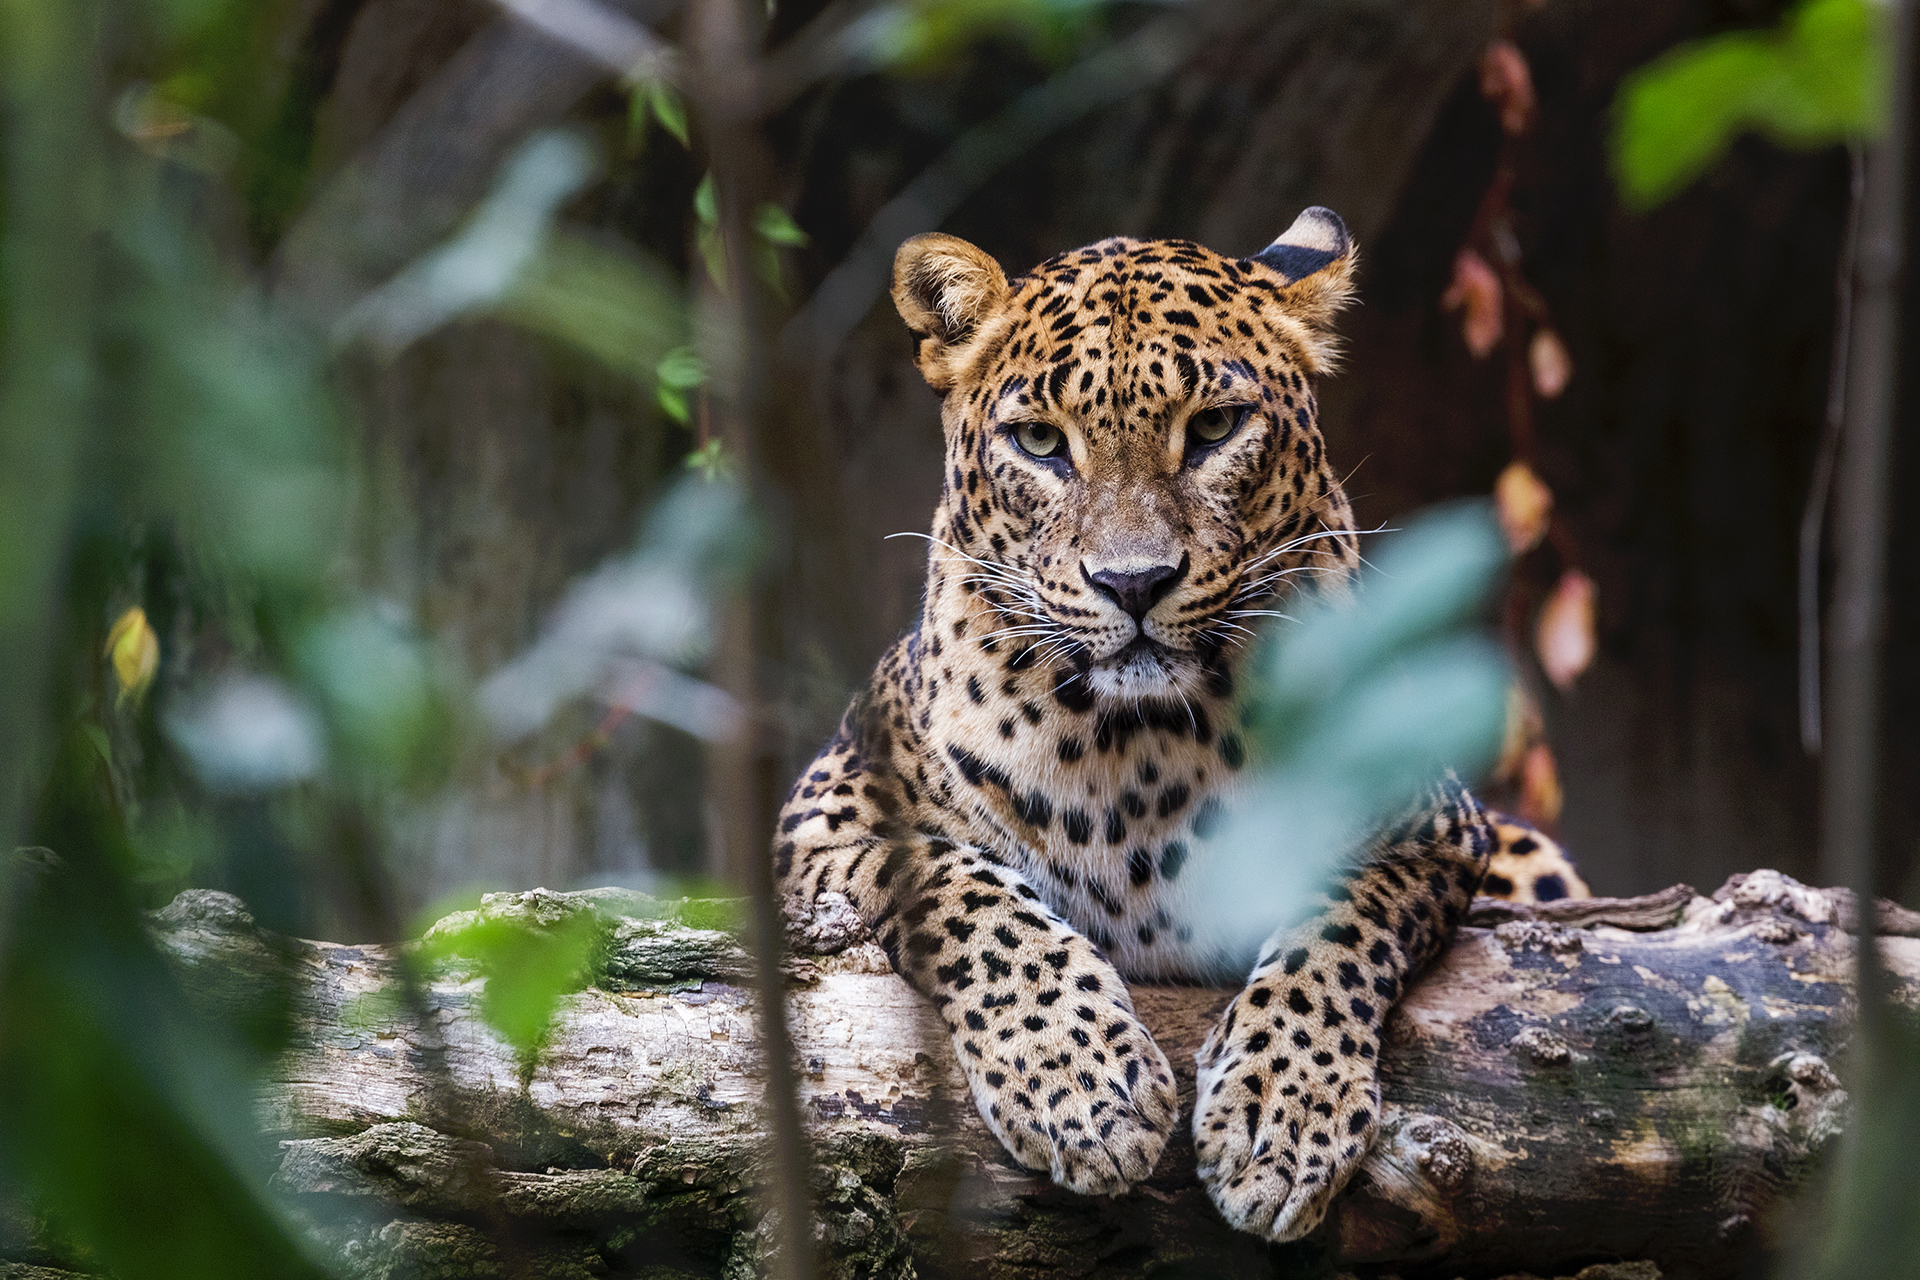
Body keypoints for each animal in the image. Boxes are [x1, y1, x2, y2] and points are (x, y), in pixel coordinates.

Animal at [774, 207, 1580, 1242]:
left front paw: (1281, 1119)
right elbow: (970, 895)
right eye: (1040, 441)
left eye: (1215, 428)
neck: (1139, 746)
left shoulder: (1433, 827)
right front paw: (1081, 1087)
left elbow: (1336, 925)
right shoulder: (823, 820)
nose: (1134, 583)